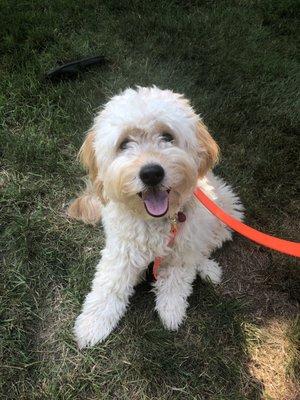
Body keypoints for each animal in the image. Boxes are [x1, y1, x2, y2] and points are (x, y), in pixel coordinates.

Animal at [68, 86, 244, 346]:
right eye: (124, 143)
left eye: (167, 137)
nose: (151, 173)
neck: (159, 220)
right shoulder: (121, 250)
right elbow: (109, 285)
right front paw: (94, 323)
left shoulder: (183, 248)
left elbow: (176, 279)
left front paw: (171, 311)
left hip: (226, 212)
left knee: (204, 248)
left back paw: (207, 268)